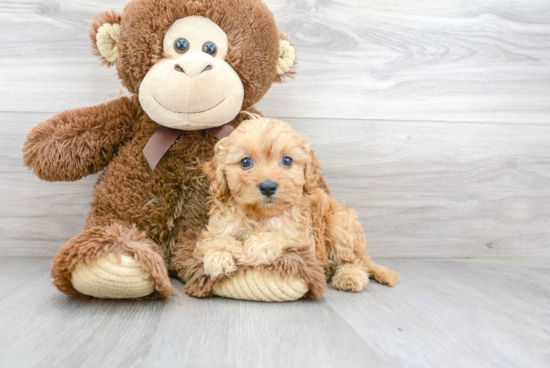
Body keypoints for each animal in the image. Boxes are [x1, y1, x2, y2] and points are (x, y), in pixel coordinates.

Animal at [195, 116, 402, 294]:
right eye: (245, 162)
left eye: (287, 160)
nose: (268, 187)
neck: (260, 215)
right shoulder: (218, 228)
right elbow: (215, 240)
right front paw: (219, 257)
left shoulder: (304, 239)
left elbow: (283, 235)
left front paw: (258, 245)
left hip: (339, 225)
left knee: (355, 260)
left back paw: (350, 276)